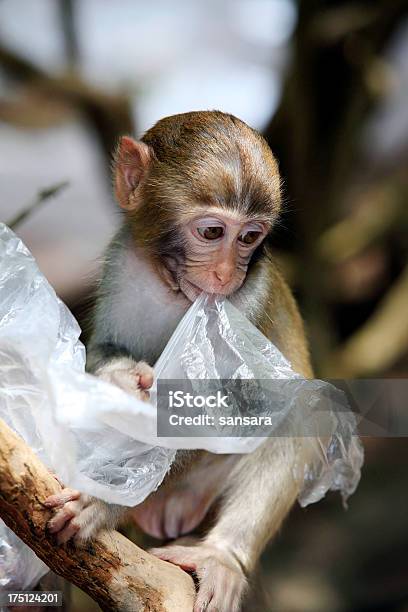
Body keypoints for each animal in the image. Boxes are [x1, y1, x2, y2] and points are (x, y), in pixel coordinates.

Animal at [45, 111, 312, 612]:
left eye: (250, 237)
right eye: (212, 232)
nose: (226, 274)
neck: (172, 290)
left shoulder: (244, 305)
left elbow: (222, 415)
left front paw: (105, 503)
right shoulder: (124, 260)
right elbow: (107, 346)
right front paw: (119, 377)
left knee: (298, 421)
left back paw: (222, 557)